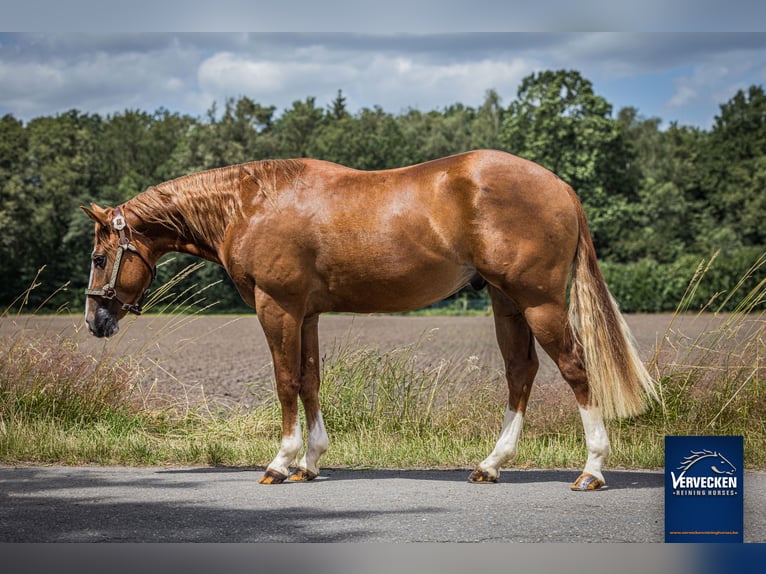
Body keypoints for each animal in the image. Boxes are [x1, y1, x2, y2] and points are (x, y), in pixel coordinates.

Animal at [82, 148, 660, 490]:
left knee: (575, 369)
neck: (252, 204)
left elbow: (285, 381)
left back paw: (591, 470)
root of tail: (561, 187)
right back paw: (491, 464)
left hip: (539, 302)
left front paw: (281, 461)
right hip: (506, 301)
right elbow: (310, 380)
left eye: (97, 257)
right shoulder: (307, 314)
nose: (94, 320)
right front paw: (310, 462)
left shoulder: (278, 307)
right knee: (521, 373)